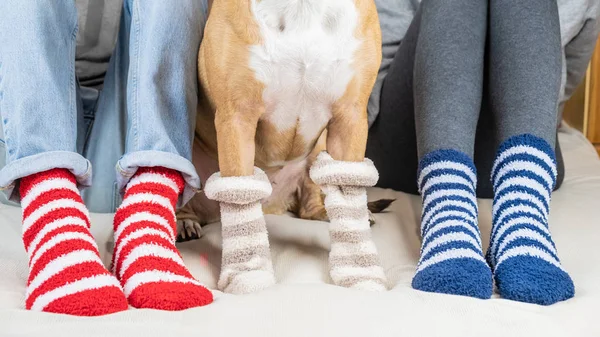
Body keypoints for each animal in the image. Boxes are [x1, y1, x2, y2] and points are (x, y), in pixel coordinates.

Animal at [175, 0, 390, 292]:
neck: (303, 6)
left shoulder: (350, 118)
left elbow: (348, 195)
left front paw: (359, 271)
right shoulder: (237, 116)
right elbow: (239, 196)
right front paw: (247, 275)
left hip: (319, 150)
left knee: (309, 207)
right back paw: (184, 221)